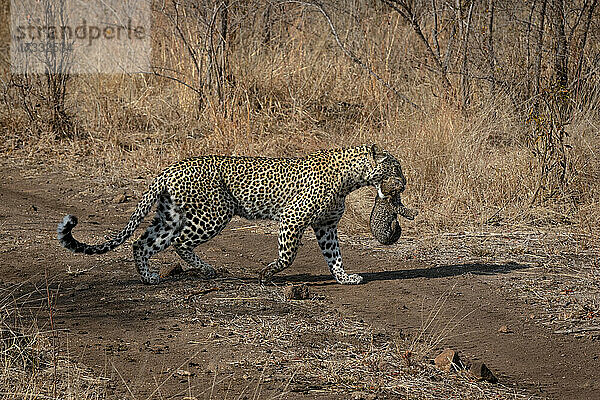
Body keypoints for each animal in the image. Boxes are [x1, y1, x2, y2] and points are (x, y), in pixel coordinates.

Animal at [57, 144, 408, 284]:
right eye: (395, 167)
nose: (404, 182)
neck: (351, 178)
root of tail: (168, 169)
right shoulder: (293, 218)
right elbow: (288, 256)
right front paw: (266, 274)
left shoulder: (326, 226)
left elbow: (335, 256)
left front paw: (345, 278)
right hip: (215, 212)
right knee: (179, 243)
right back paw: (206, 271)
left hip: (170, 215)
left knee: (142, 242)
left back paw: (149, 278)